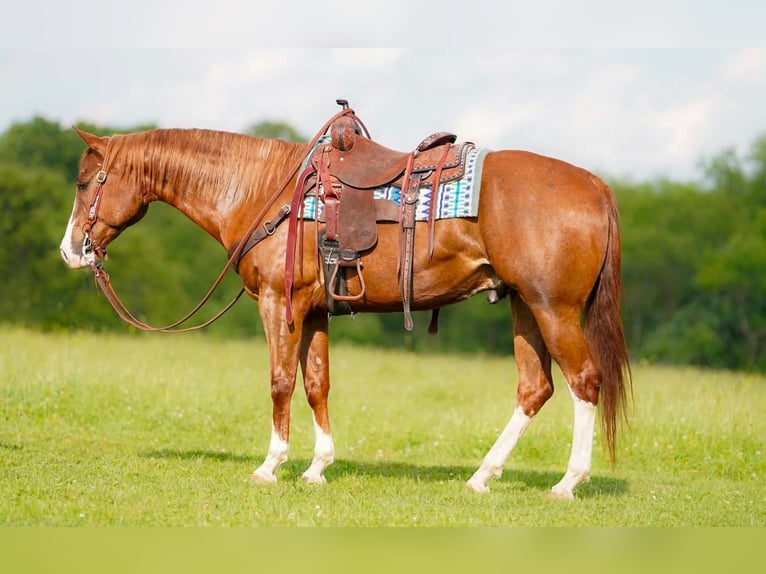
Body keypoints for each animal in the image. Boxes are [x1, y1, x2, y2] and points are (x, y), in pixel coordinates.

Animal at [59, 109, 631, 499]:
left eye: (86, 182)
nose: (70, 250)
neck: (266, 191)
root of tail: (596, 185)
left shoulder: (279, 303)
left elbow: (281, 381)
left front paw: (271, 465)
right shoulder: (313, 313)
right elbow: (317, 383)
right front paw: (317, 467)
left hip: (553, 308)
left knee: (585, 381)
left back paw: (568, 482)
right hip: (525, 307)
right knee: (535, 388)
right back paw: (482, 475)